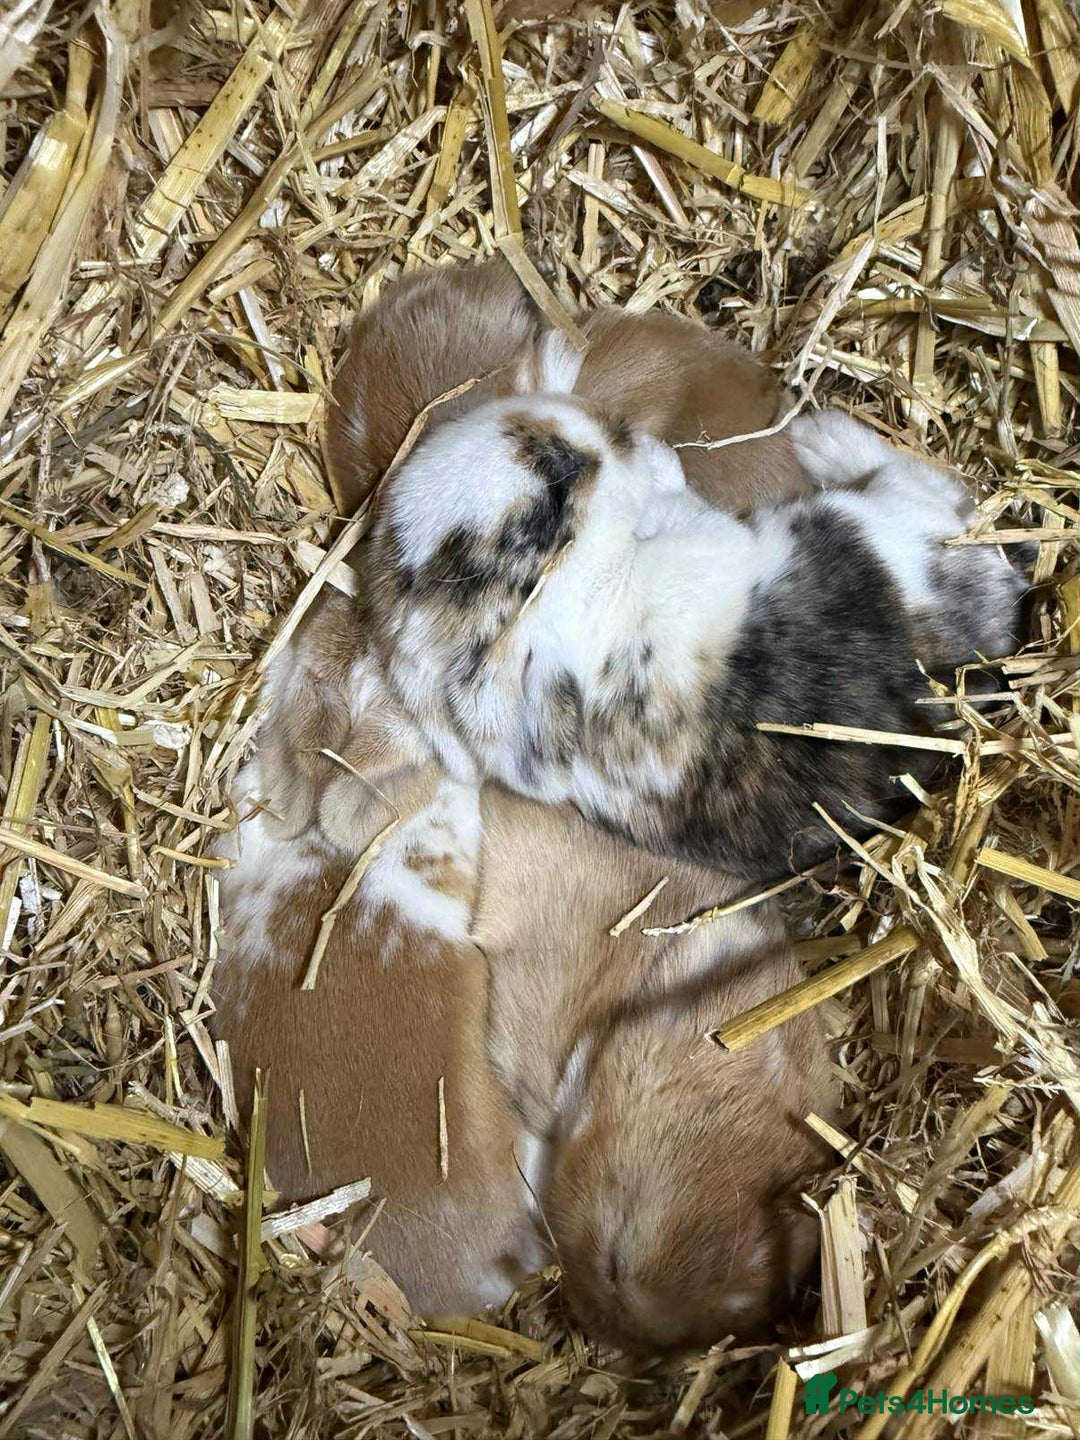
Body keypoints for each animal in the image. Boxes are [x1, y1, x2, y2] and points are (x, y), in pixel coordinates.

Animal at [361, 391, 1027, 879]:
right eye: (559, 476)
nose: (615, 429)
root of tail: (1007, 618)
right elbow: (666, 499)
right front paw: (657, 461)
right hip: (894, 527)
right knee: (933, 488)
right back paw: (824, 434)